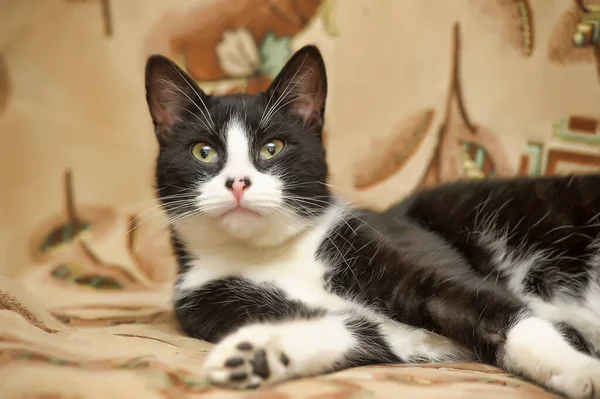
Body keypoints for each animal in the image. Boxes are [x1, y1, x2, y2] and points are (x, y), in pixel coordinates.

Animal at [144, 45, 600, 398]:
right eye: (204, 152)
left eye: (272, 147)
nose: (237, 182)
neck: (272, 254)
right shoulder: (210, 300)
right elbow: (357, 334)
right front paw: (256, 353)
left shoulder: (390, 241)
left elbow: (497, 309)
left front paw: (580, 369)